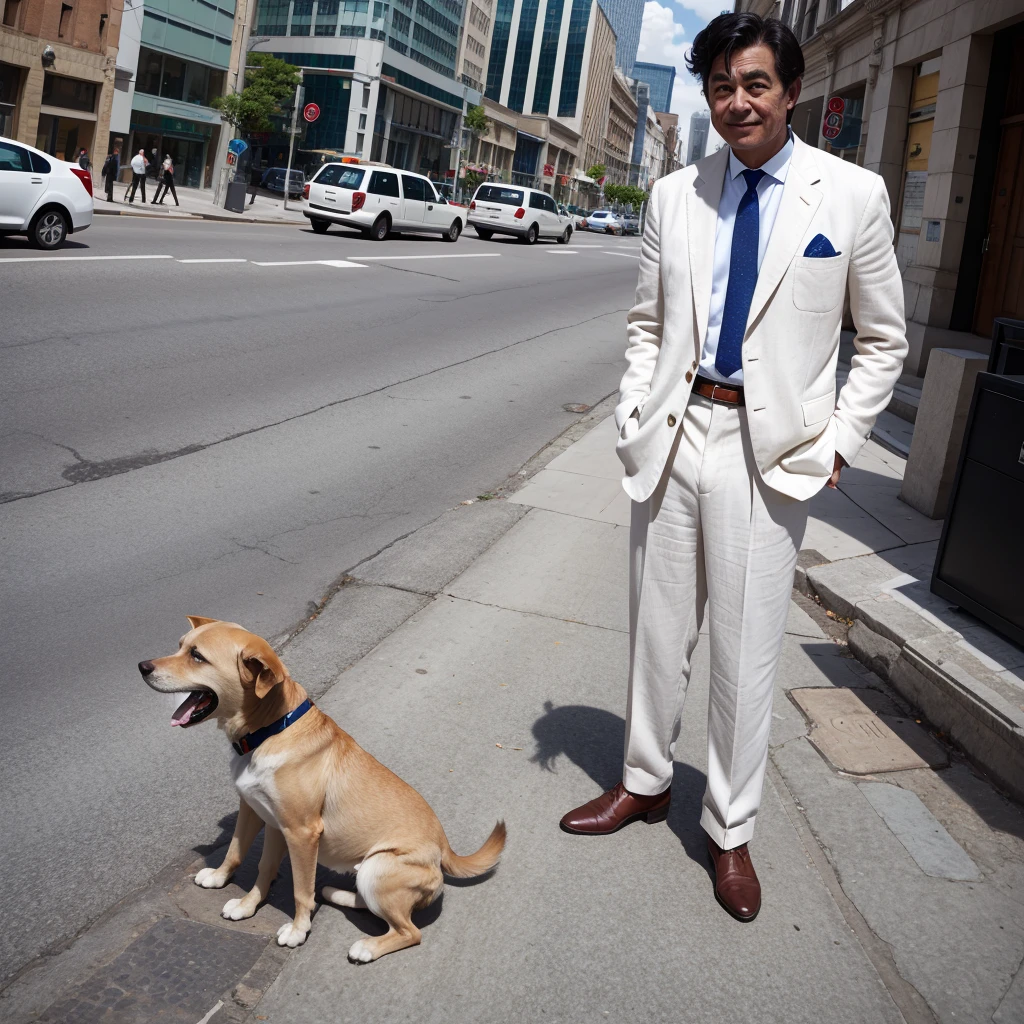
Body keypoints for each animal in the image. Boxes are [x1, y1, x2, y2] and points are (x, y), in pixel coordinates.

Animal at [138, 614, 505, 958]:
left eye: (197, 656)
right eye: (180, 646)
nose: (142, 666)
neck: (271, 729)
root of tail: (444, 847)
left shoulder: (302, 833)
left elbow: (300, 890)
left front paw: (298, 929)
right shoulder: (263, 816)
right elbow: (246, 857)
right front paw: (237, 895)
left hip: (378, 867)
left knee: (409, 931)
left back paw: (366, 946)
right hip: (366, 871)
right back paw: (334, 893)